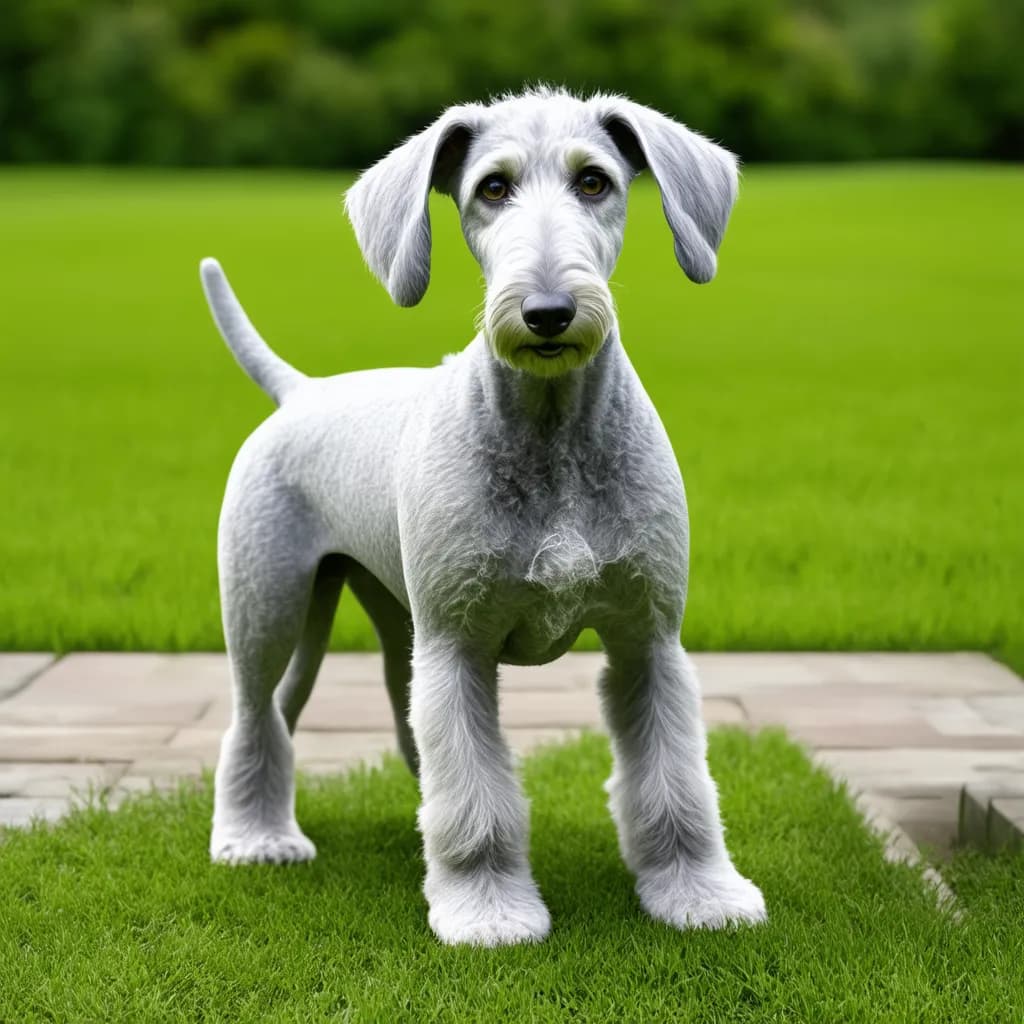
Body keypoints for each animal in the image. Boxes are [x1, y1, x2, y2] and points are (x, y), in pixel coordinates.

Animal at [199, 86, 765, 942]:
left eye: (595, 181)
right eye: (491, 188)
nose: (548, 312)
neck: (553, 434)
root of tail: (302, 391)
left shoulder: (648, 640)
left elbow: (676, 786)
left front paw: (699, 894)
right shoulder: (459, 647)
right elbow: (475, 797)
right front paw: (488, 911)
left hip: (382, 615)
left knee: (340, 725)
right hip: (270, 602)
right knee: (252, 713)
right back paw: (253, 840)